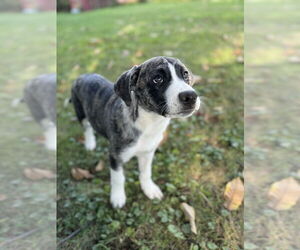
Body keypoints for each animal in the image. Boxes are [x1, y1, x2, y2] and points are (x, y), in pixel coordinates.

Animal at [71, 56, 200, 207]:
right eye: (158, 79)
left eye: (185, 74)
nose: (190, 96)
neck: (149, 123)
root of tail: (83, 75)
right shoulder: (115, 156)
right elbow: (118, 178)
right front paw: (117, 197)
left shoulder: (148, 152)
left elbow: (145, 172)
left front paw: (149, 189)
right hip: (80, 112)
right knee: (87, 127)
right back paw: (90, 143)